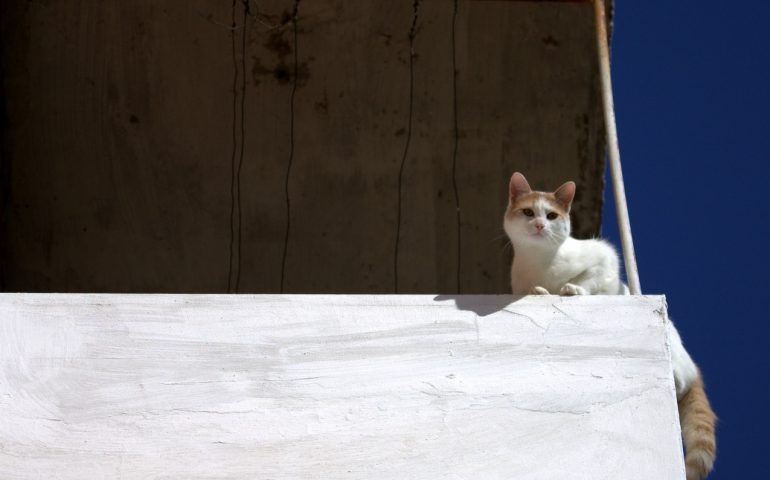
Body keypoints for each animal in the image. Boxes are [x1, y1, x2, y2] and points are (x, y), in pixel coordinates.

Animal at [504, 172, 712, 480]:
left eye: (551, 215)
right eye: (529, 212)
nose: (540, 225)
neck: (541, 262)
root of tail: (693, 366)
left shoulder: (604, 258)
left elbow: (590, 279)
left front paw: (573, 289)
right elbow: (535, 290)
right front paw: (540, 292)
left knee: (681, 379)